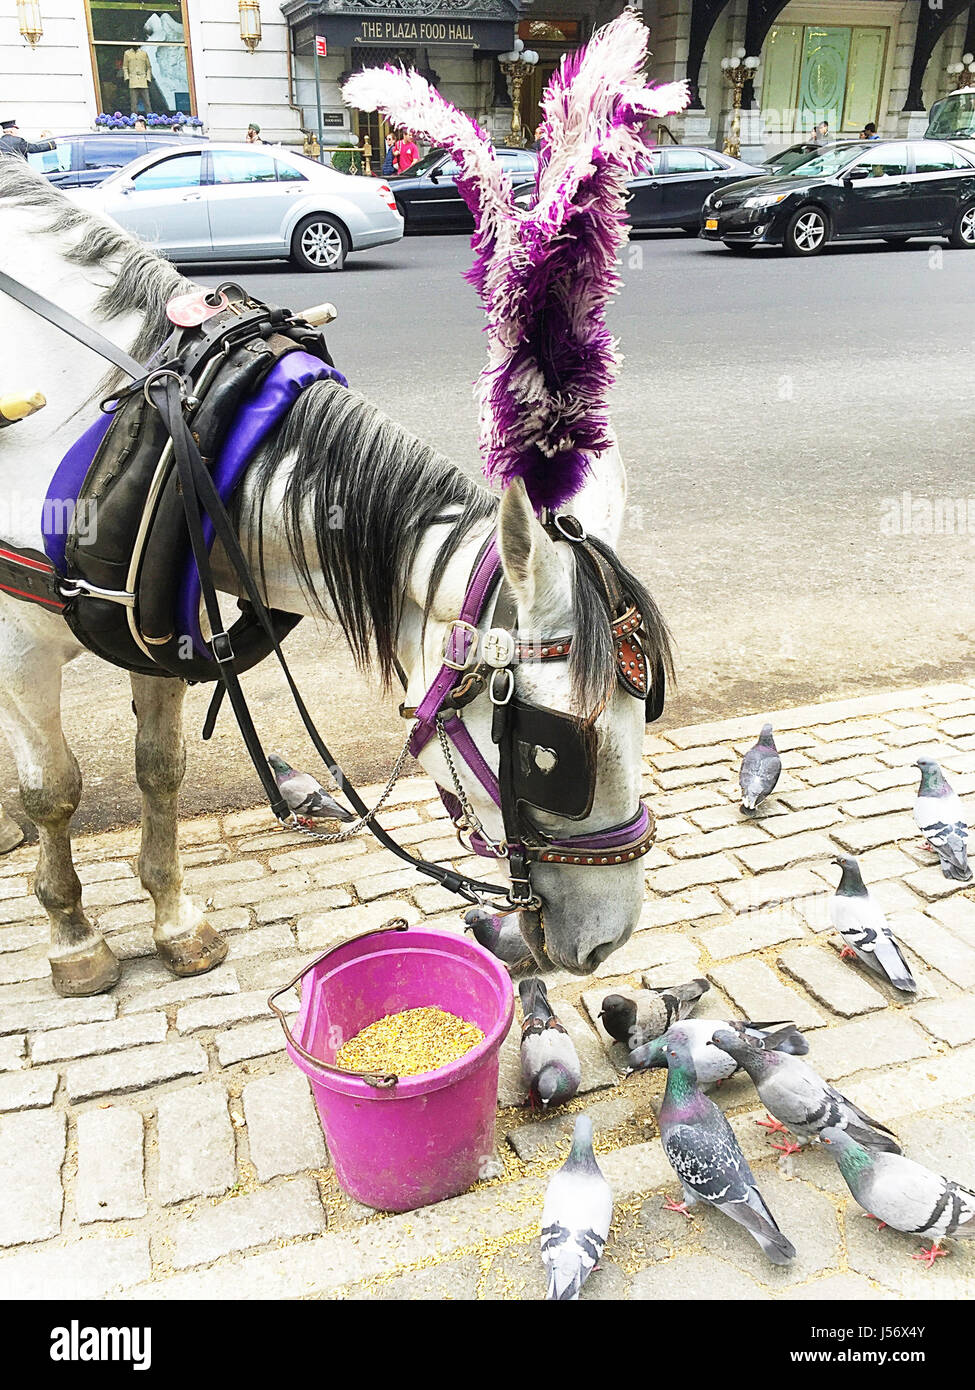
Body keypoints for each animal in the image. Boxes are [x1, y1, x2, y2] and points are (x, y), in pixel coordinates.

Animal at [0, 157, 670, 995]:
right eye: (547, 756)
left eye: (645, 712)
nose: (610, 939)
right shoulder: (19, 644)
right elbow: (54, 791)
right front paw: (73, 936)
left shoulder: (146, 630)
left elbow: (160, 770)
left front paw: (174, 919)